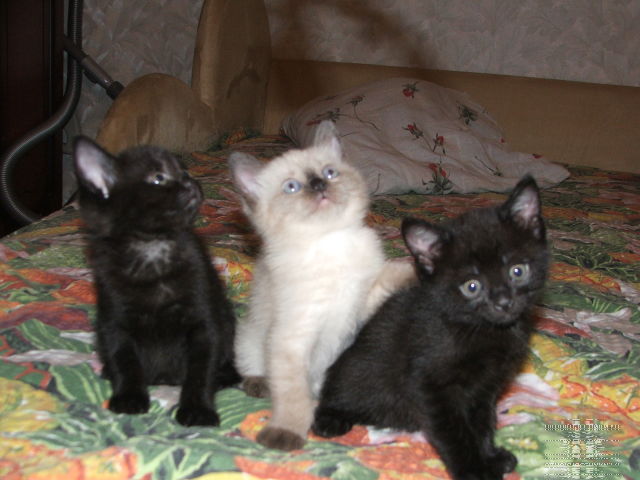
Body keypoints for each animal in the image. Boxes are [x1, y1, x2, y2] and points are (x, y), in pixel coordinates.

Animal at [73, 136, 239, 427]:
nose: (190, 181)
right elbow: (124, 360)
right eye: (158, 178)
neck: (152, 249)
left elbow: (201, 370)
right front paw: (128, 397)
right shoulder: (114, 321)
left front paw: (197, 409)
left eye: (183, 171)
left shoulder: (205, 320)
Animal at [228, 121, 415, 451]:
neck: (331, 241)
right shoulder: (294, 337)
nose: (318, 186)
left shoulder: (359, 306)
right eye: (292, 187)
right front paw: (286, 433)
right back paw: (259, 384)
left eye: (329, 173)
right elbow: (294, 396)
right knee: (252, 368)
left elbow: (390, 273)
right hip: (249, 336)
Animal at [313, 175, 548, 480]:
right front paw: (474, 469)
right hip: (356, 372)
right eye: (472, 287)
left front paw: (490, 456)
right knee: (337, 392)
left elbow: (483, 422)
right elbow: (454, 430)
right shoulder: (429, 384)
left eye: (517, 271)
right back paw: (331, 419)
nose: (503, 302)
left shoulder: (485, 388)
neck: (478, 329)